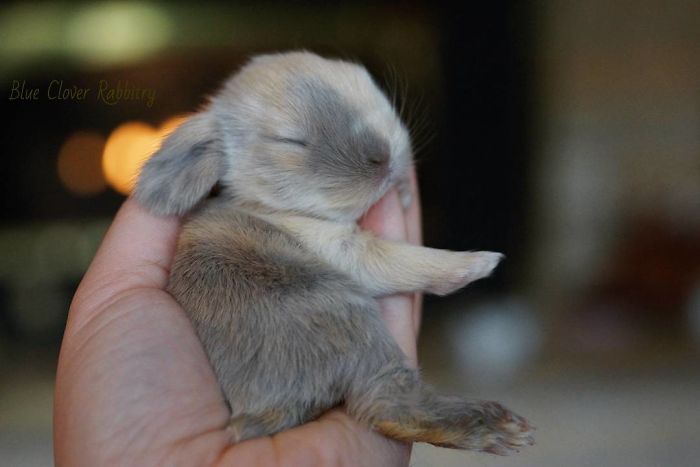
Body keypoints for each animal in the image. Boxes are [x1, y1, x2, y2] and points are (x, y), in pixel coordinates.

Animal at [134, 51, 534, 455]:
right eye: (290, 141)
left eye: (363, 85)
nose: (382, 158)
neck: (271, 207)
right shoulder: (344, 249)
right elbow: (402, 260)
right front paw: (479, 262)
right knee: (388, 404)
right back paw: (498, 426)